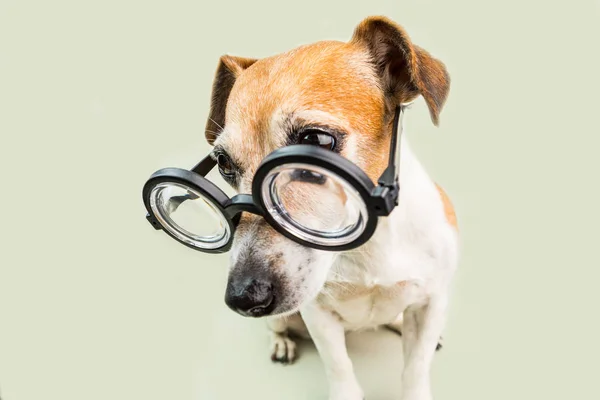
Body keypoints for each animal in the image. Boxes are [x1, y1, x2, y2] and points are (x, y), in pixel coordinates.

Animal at [204, 14, 458, 400]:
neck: (370, 244)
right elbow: (339, 367)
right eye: (223, 163)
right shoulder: (318, 313)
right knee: (278, 326)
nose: (243, 297)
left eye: (316, 140)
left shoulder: (433, 302)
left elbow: (416, 367)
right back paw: (281, 343)